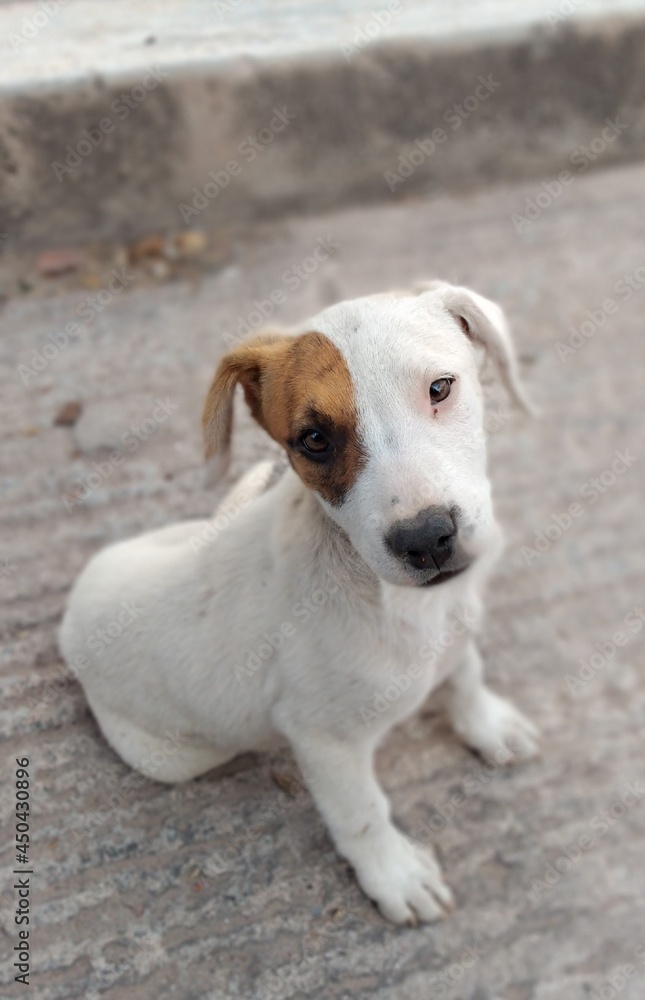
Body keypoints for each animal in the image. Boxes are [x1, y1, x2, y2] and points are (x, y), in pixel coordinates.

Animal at [60, 280, 536, 920]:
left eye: (440, 387)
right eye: (314, 440)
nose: (426, 539)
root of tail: (69, 617)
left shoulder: (457, 630)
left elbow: (465, 673)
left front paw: (486, 723)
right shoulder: (324, 742)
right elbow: (363, 815)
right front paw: (395, 875)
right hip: (173, 756)